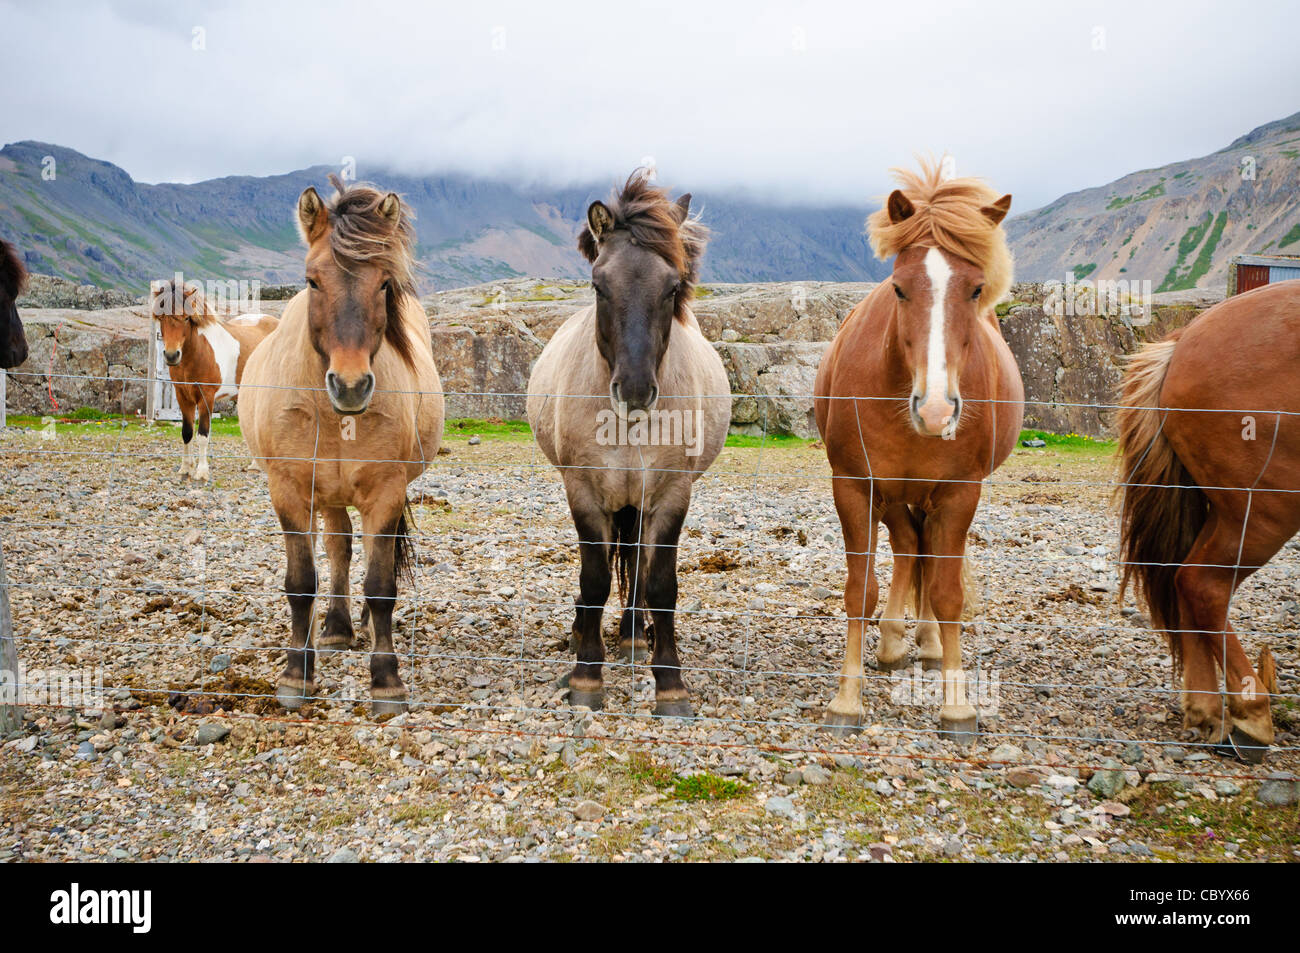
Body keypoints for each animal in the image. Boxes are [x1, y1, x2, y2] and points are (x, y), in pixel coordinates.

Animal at [148, 278, 278, 481]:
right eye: (161, 318)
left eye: (186, 318)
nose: (171, 356)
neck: (200, 352)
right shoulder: (183, 397)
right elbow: (187, 433)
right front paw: (185, 468)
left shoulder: (206, 398)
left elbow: (203, 435)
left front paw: (201, 472)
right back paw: (255, 465)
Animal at [240, 176, 444, 714]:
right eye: (312, 281)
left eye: (384, 283)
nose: (350, 385)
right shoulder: (289, 491)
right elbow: (300, 584)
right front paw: (296, 674)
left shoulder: (386, 493)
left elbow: (381, 586)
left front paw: (387, 680)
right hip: (325, 494)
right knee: (337, 545)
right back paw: (334, 629)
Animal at [527, 171, 730, 717]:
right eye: (599, 285)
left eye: (673, 286)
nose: (636, 390)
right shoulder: (584, 492)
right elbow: (594, 579)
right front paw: (586, 676)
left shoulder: (671, 495)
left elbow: (660, 584)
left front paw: (670, 684)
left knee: (637, 565)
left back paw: (635, 636)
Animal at [813, 160, 1022, 743]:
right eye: (900, 289)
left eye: (976, 289)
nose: (935, 410)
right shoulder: (855, 486)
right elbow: (859, 590)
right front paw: (847, 699)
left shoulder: (958, 493)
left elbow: (949, 594)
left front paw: (957, 707)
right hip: (894, 494)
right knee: (911, 547)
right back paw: (893, 642)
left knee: (926, 553)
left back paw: (926, 643)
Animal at [1117, 280, 1299, 763]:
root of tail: (1183, 343)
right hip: (1265, 511)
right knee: (1204, 584)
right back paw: (1250, 714)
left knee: (1185, 580)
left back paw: (1206, 712)